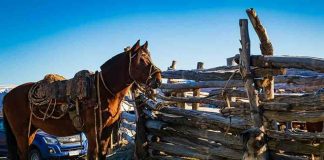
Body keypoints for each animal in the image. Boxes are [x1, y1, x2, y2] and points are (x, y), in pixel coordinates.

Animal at [1, 39, 161, 159]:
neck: (104, 91)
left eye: (150, 57)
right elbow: (92, 154)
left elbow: (102, 154)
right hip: (21, 132)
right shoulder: (92, 131)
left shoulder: (106, 130)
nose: (158, 79)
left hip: (31, 131)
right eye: (141, 59)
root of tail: (8, 96)